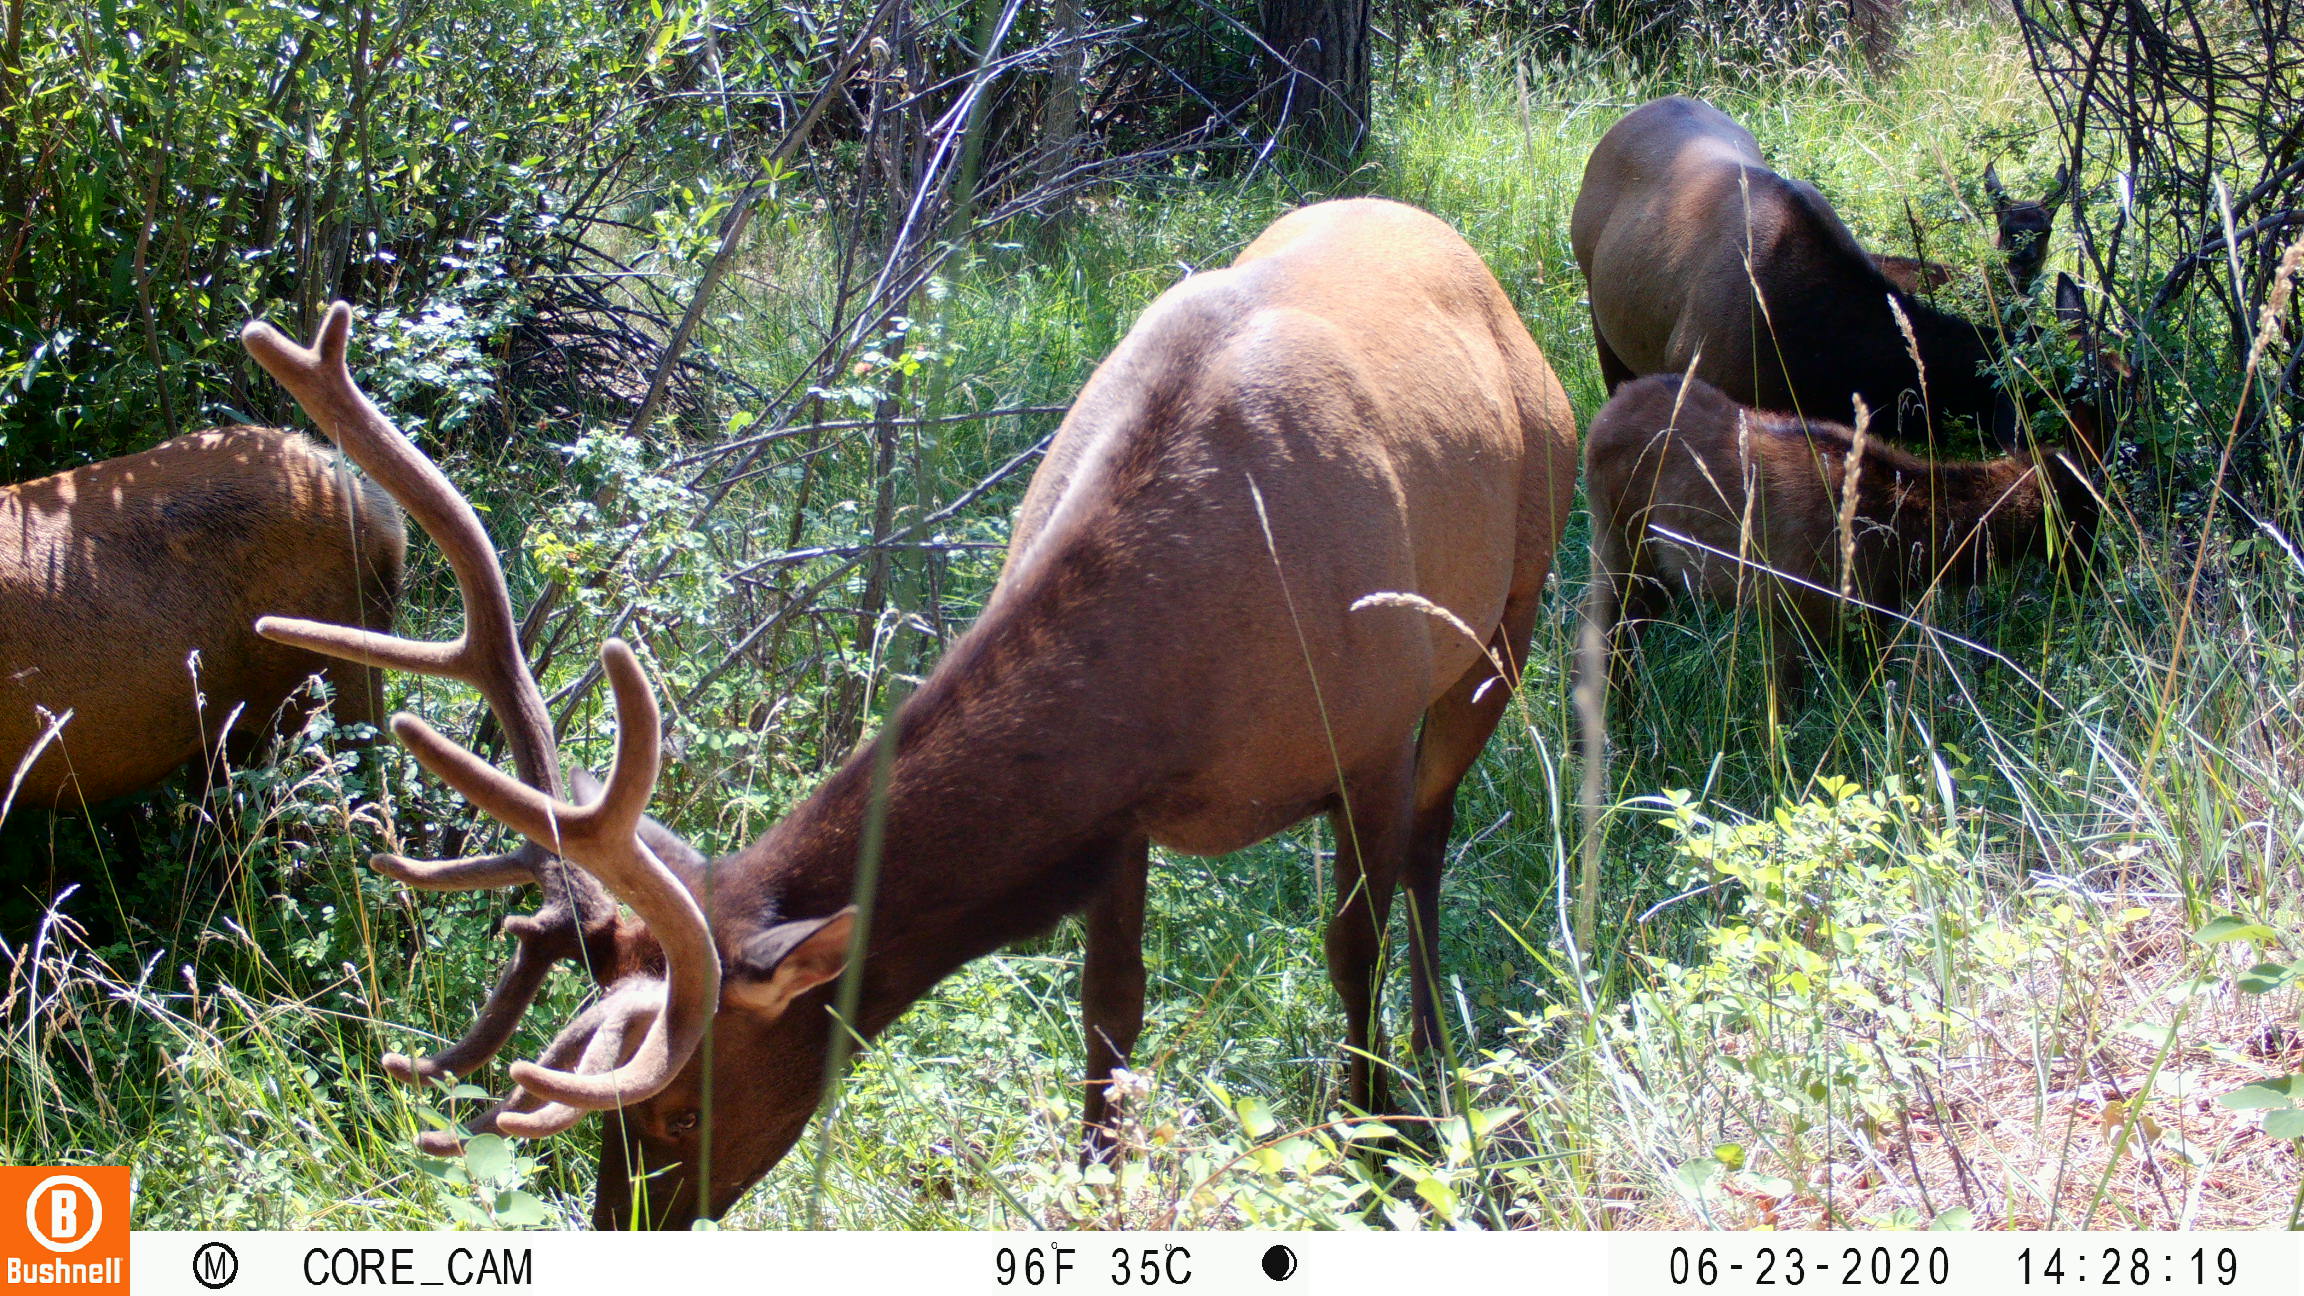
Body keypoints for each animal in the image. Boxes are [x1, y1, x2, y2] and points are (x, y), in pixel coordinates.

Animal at [241, 196, 1581, 1229]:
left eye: (674, 1105)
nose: (621, 1226)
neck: (1191, 657)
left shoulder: (1370, 733)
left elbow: (1348, 949)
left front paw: (1378, 1150)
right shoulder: (1117, 815)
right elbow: (1110, 1017)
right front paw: (1094, 1192)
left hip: (1505, 621)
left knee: (1433, 843)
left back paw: (1436, 1064)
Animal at [1578, 273, 2116, 719]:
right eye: (2084, 509)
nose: (2097, 574)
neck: (1906, 542)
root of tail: (1603, 417)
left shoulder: (1872, 621)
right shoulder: (1789, 609)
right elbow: (1782, 720)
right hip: (1620, 545)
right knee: (1601, 637)